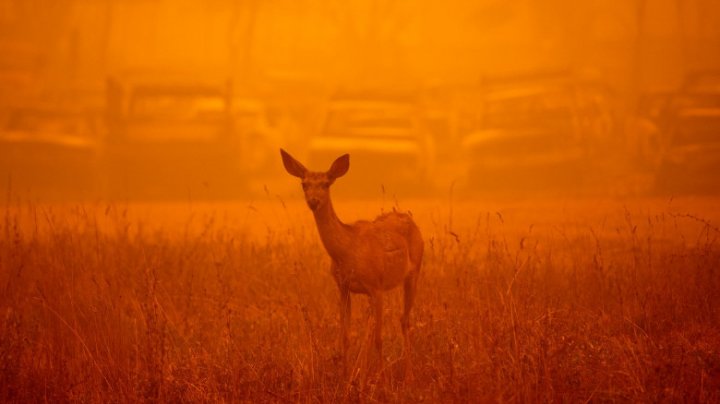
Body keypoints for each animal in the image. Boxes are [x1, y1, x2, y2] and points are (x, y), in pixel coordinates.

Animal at [280, 150, 424, 378]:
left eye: (326, 183)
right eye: (304, 183)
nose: (313, 201)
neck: (347, 251)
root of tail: (409, 219)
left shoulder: (376, 286)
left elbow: (379, 339)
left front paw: (382, 380)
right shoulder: (344, 287)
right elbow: (346, 337)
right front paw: (346, 376)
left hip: (414, 271)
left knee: (403, 320)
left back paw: (408, 375)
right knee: (375, 325)